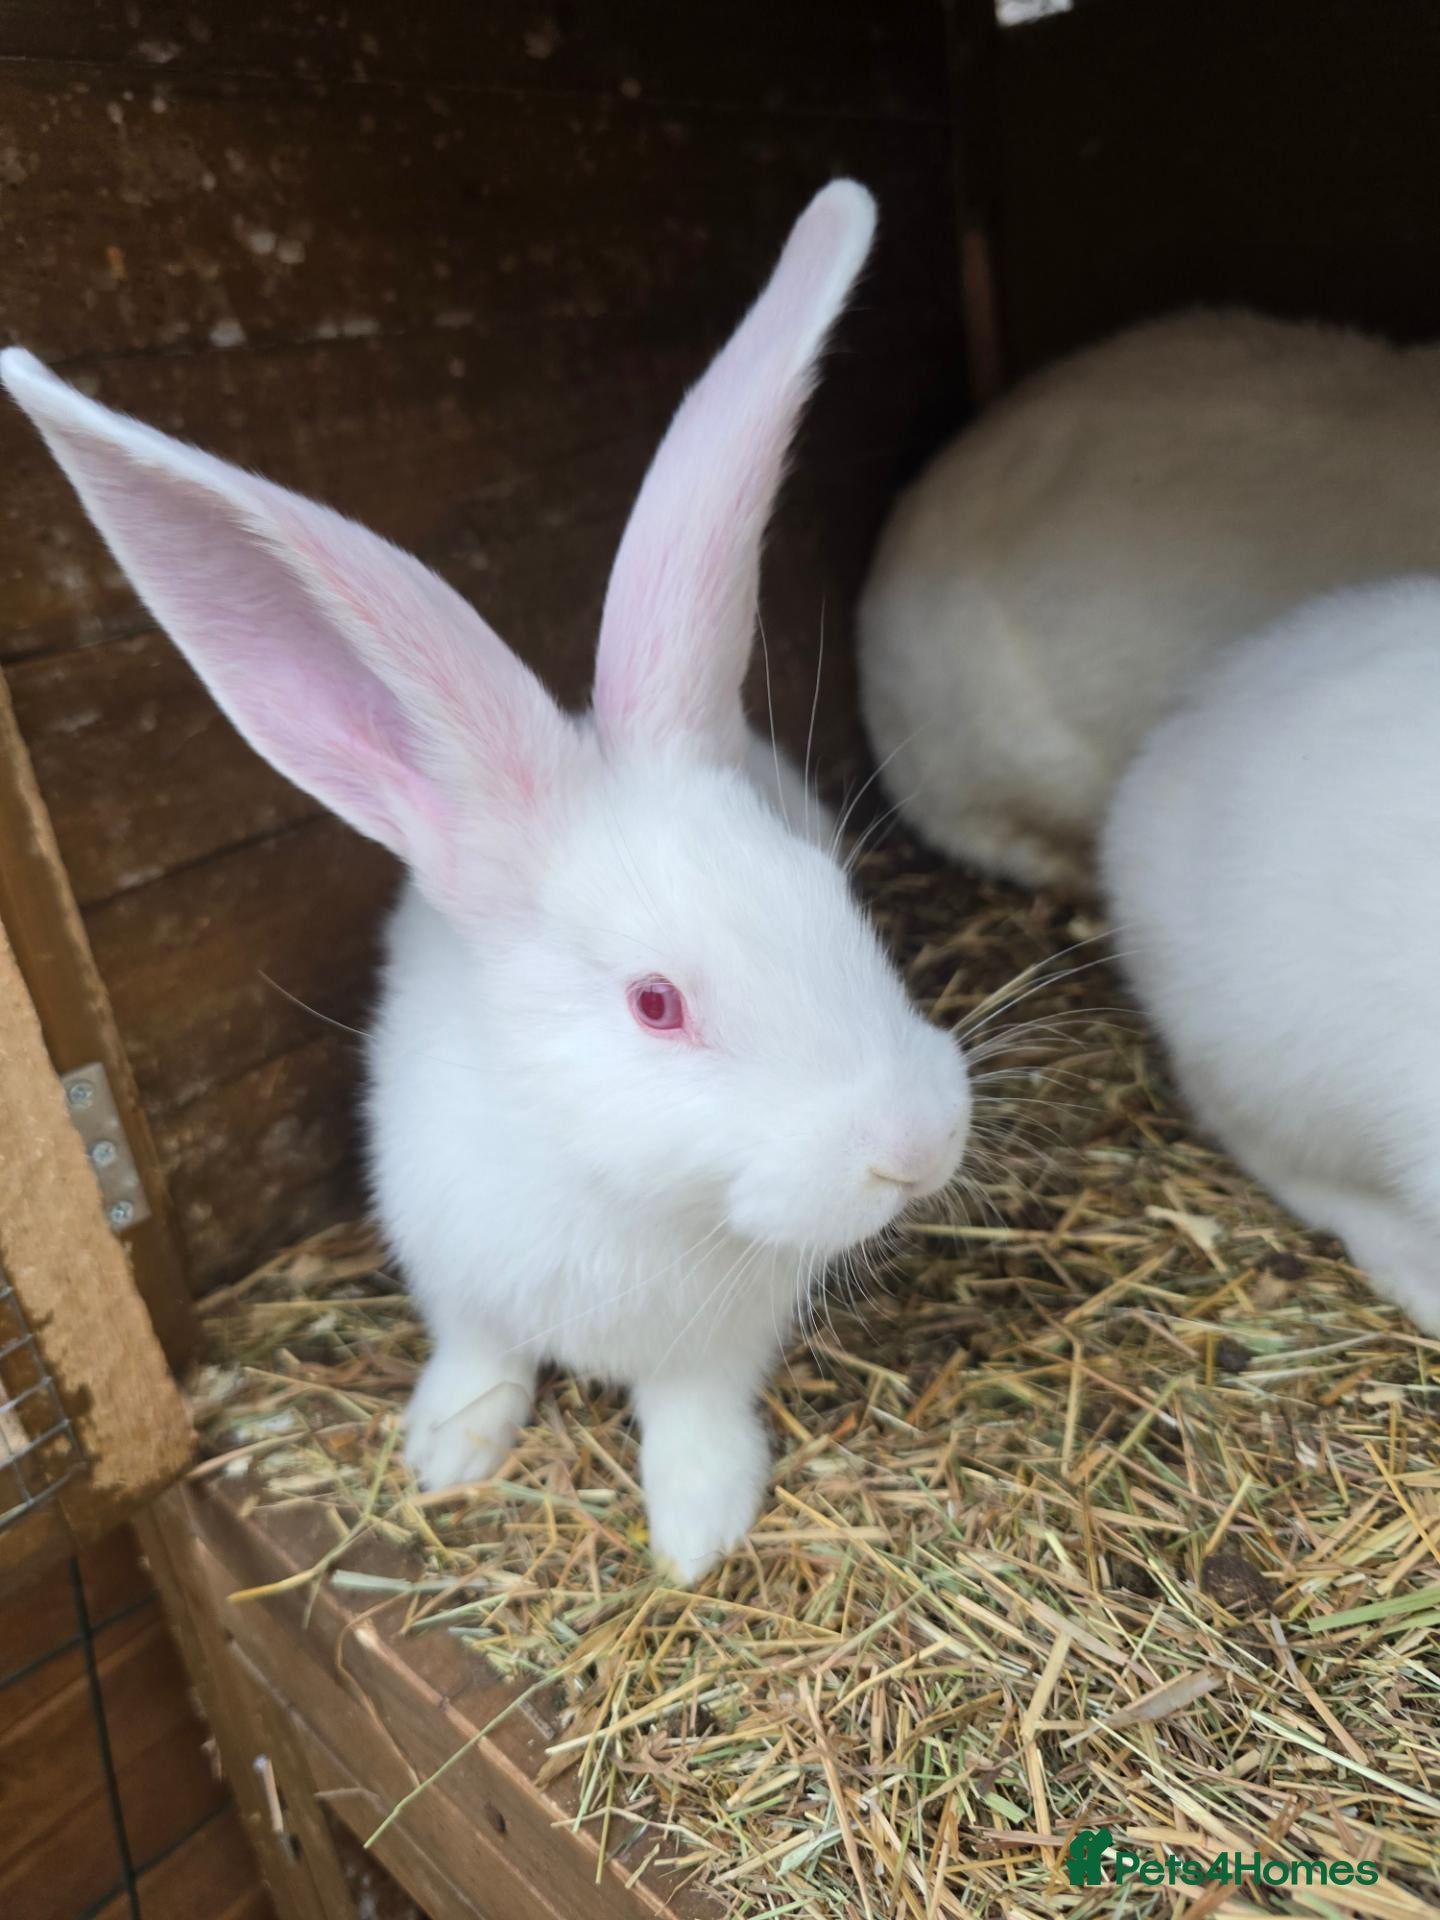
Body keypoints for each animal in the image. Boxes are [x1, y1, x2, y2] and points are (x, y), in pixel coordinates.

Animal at [3, 181, 973, 1580]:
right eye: (654, 1004)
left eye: (837, 899)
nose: (921, 1144)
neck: (617, 1187)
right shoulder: (452, 1275)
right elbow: (481, 1357)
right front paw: (447, 1453)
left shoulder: (715, 1345)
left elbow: (692, 1411)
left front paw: (695, 1530)